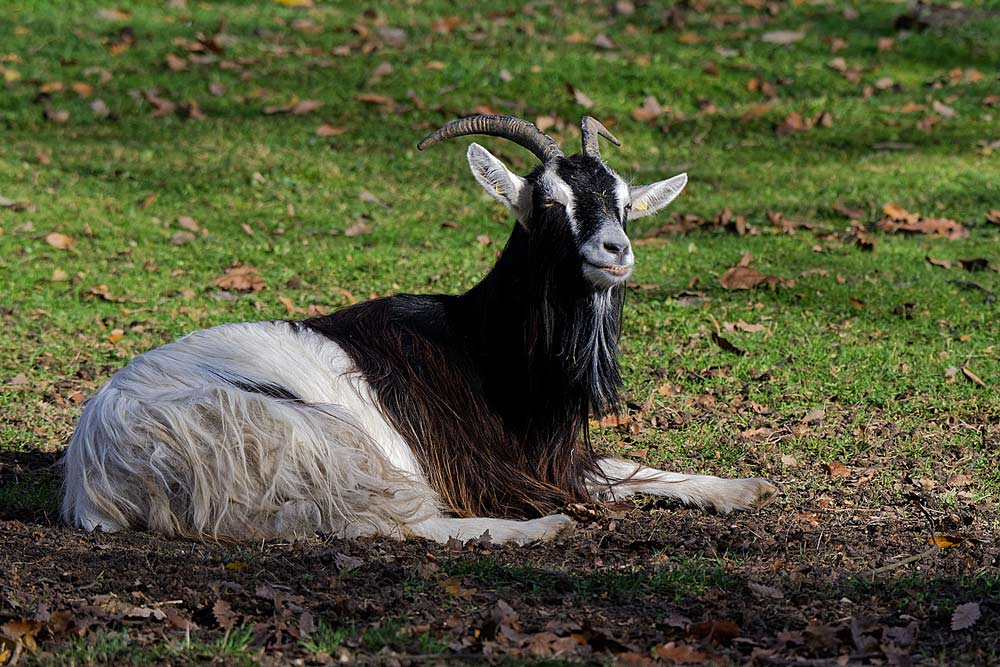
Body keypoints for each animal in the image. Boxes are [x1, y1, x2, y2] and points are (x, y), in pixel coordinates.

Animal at [62, 113, 776, 544]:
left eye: (624, 202)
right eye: (547, 201)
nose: (614, 251)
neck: (481, 346)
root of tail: (98, 469)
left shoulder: (551, 451)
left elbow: (634, 466)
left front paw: (741, 489)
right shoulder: (480, 462)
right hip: (318, 436)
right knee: (388, 521)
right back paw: (538, 529)